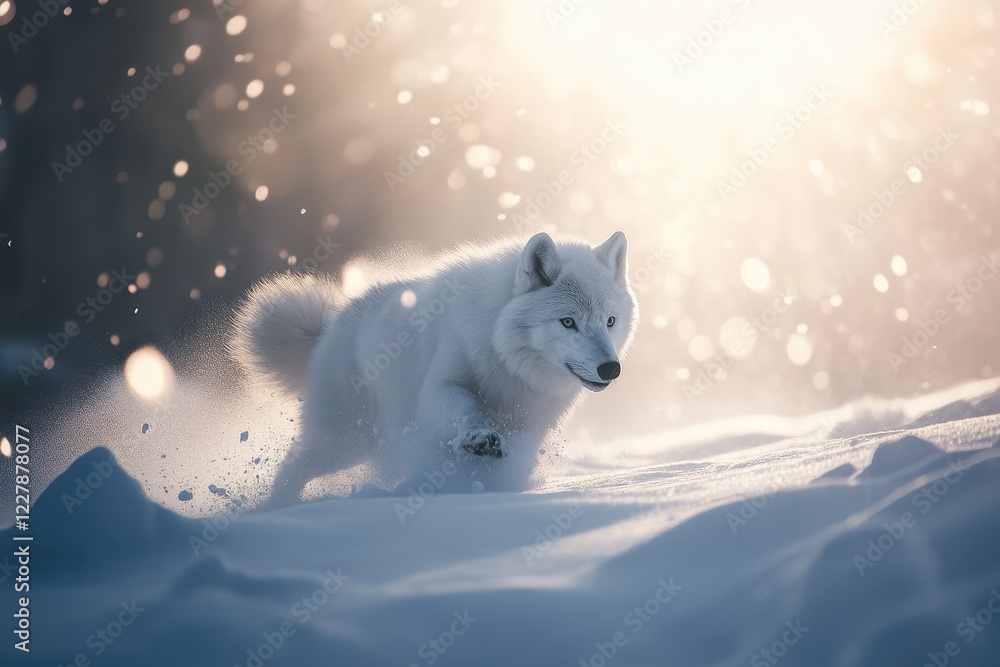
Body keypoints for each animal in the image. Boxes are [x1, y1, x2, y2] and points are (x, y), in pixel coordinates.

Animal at [231, 231, 638, 506]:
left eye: (610, 321)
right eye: (568, 322)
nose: (610, 369)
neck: (508, 363)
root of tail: (327, 329)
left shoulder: (530, 428)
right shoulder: (441, 386)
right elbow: (466, 407)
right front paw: (479, 437)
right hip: (344, 442)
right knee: (292, 466)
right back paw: (276, 510)